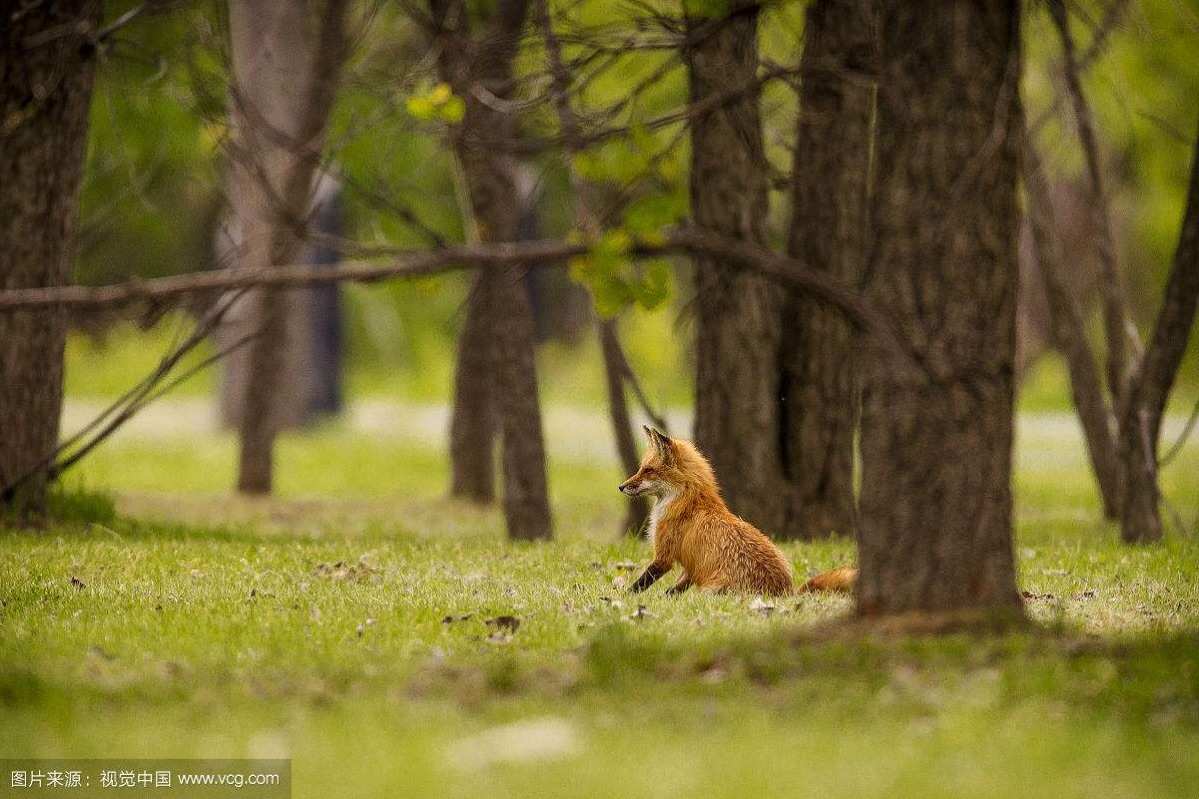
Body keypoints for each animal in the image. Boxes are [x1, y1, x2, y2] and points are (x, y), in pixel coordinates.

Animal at [618, 427, 853, 595]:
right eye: (640, 468)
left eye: (648, 470)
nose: (621, 486)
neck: (690, 502)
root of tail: (785, 593)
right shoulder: (693, 567)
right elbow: (675, 589)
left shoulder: (664, 556)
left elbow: (641, 583)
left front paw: (624, 598)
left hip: (710, 590)